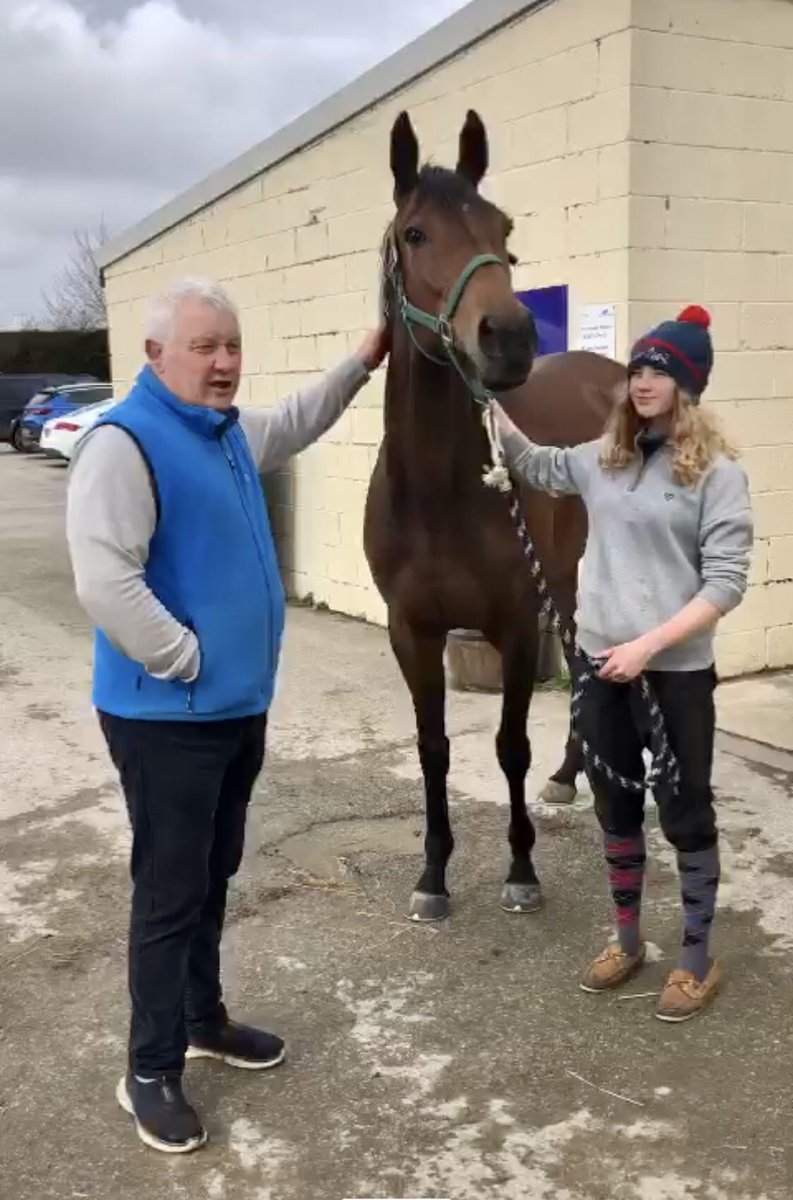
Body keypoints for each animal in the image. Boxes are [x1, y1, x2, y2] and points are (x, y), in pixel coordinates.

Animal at [363, 109, 626, 922]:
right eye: (415, 233)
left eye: (503, 227)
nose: (509, 336)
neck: (438, 492)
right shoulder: (411, 629)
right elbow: (433, 747)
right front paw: (432, 875)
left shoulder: (512, 621)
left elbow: (510, 745)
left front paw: (521, 870)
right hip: (564, 577)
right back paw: (572, 775)